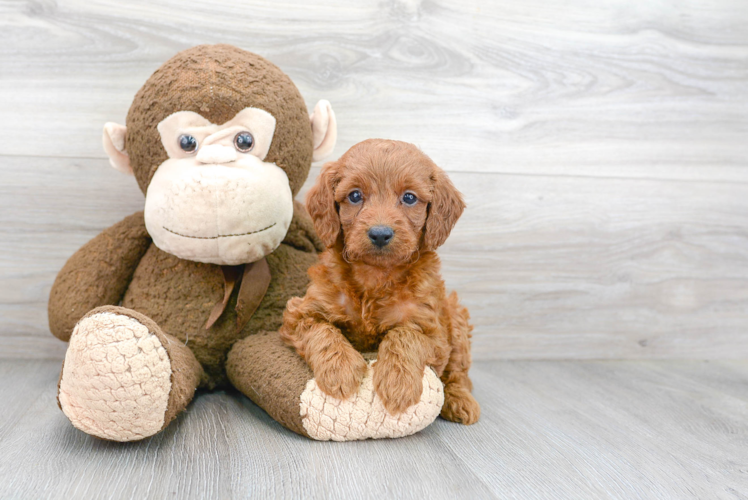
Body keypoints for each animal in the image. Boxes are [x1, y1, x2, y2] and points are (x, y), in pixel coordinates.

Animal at [280, 139, 480, 424]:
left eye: (409, 197)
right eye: (354, 196)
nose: (380, 234)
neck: (375, 275)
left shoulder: (433, 332)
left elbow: (404, 334)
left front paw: (398, 383)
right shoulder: (300, 313)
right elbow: (322, 331)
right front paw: (340, 370)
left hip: (456, 316)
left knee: (459, 373)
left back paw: (459, 400)